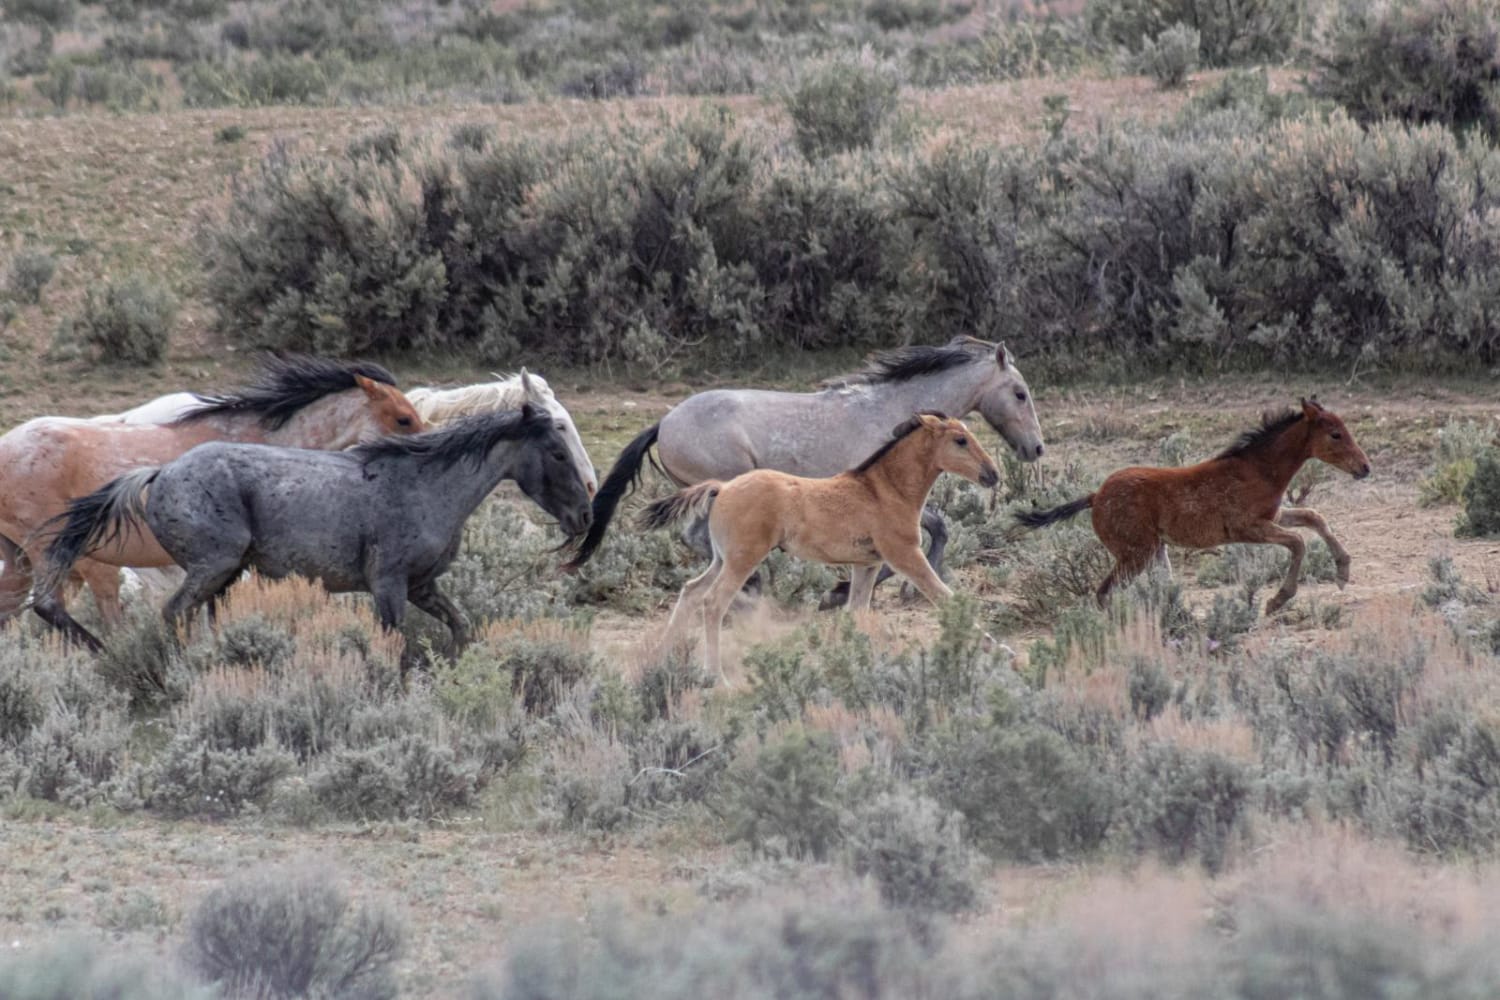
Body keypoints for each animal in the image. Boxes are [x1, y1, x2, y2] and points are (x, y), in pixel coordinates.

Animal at [42, 401, 591, 653]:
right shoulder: (387, 586)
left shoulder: (422, 586)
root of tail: (159, 474)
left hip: (224, 575)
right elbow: (393, 644)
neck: (425, 485)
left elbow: (459, 627)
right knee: (174, 613)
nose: (585, 516)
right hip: (214, 565)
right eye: (557, 452)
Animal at [642, 410, 996, 677]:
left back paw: (660, 658)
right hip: (743, 558)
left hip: (721, 559)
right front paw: (997, 648)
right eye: (960, 440)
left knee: (690, 591)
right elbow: (945, 596)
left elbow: (856, 612)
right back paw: (715, 676)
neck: (884, 491)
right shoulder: (905, 556)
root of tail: (723, 488)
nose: (992, 474)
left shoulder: (867, 564)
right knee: (713, 603)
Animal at [1008, 401, 1374, 614]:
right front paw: (1277, 600)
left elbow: (1314, 518)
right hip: (1135, 554)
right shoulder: (1247, 527)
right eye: (1336, 434)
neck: (1258, 469)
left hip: (1154, 551)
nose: (1365, 468)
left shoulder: (1274, 516)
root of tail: (1095, 496)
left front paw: (1343, 571)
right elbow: (1298, 542)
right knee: (1103, 593)